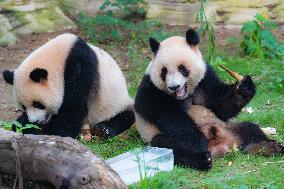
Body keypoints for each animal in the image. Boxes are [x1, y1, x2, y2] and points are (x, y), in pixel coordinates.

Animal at [1, 33, 134, 138]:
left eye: (38, 104)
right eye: (23, 106)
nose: (35, 121)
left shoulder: (79, 68)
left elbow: (73, 109)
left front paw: (46, 132)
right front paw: (23, 124)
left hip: (114, 104)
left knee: (127, 115)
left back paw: (103, 129)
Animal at [134, 28, 282, 171]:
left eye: (182, 68)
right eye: (164, 71)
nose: (174, 87)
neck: (184, 95)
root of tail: (220, 146)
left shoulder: (206, 78)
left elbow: (221, 107)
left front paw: (243, 88)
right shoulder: (151, 88)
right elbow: (169, 115)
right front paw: (198, 140)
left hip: (228, 127)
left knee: (249, 129)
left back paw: (267, 147)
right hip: (157, 138)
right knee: (171, 147)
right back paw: (201, 159)